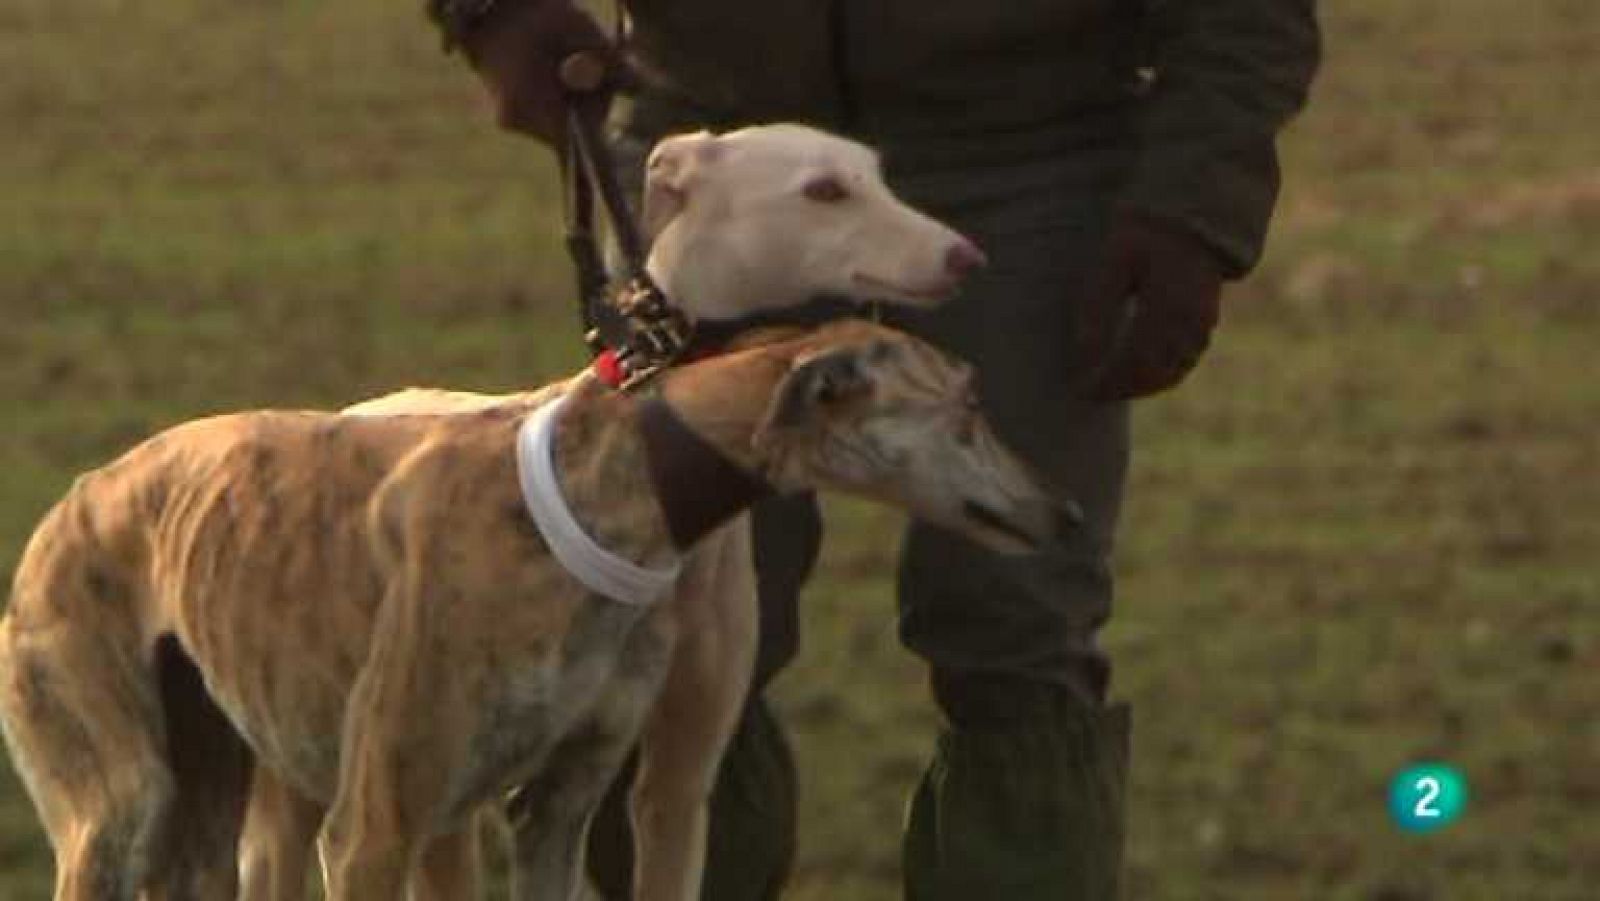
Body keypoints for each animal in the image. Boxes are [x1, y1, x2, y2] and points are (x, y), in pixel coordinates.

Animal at [3, 323, 1075, 901]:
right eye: (967, 405)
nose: (1060, 514)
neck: (620, 481)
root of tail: (71, 502)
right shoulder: (374, 825)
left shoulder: (559, 801)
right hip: (119, 802)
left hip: (209, 791)